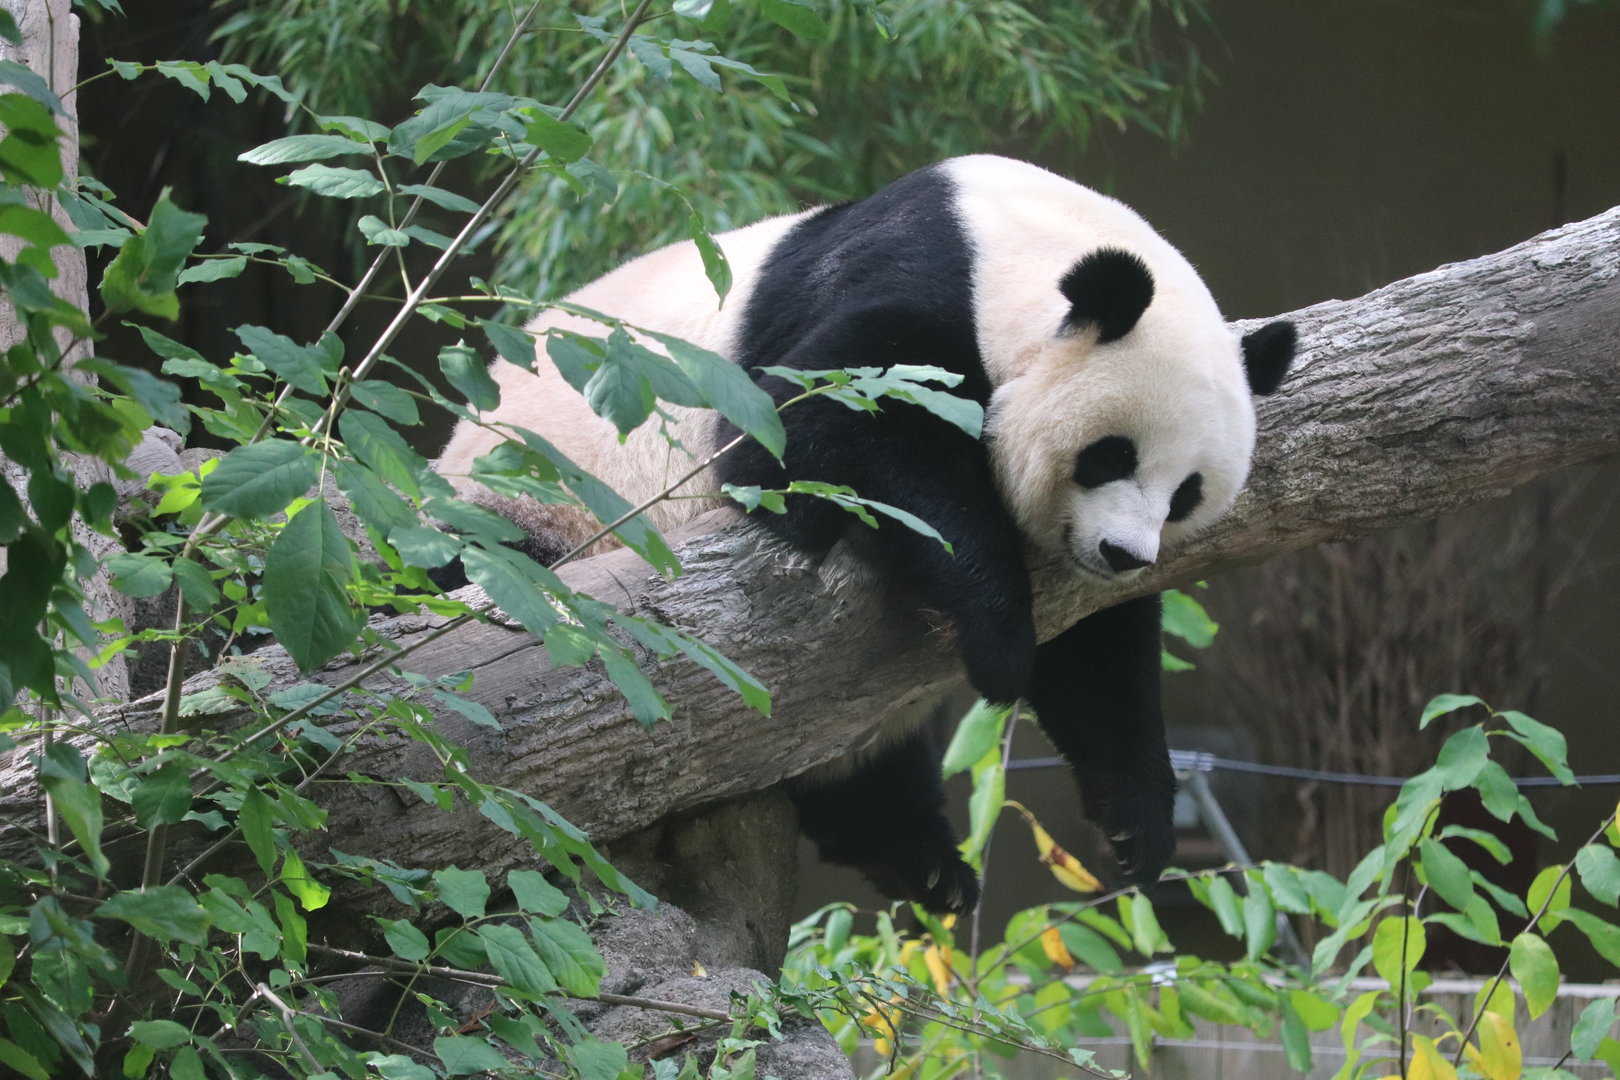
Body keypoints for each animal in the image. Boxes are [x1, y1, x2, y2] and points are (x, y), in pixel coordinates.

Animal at [436, 154, 1296, 914]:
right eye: (1112, 454)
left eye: (1186, 494)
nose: (1123, 555)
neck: (1015, 241)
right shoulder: (907, 284)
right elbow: (808, 436)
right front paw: (1001, 639)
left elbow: (1102, 654)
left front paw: (1137, 826)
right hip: (533, 495)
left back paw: (920, 861)